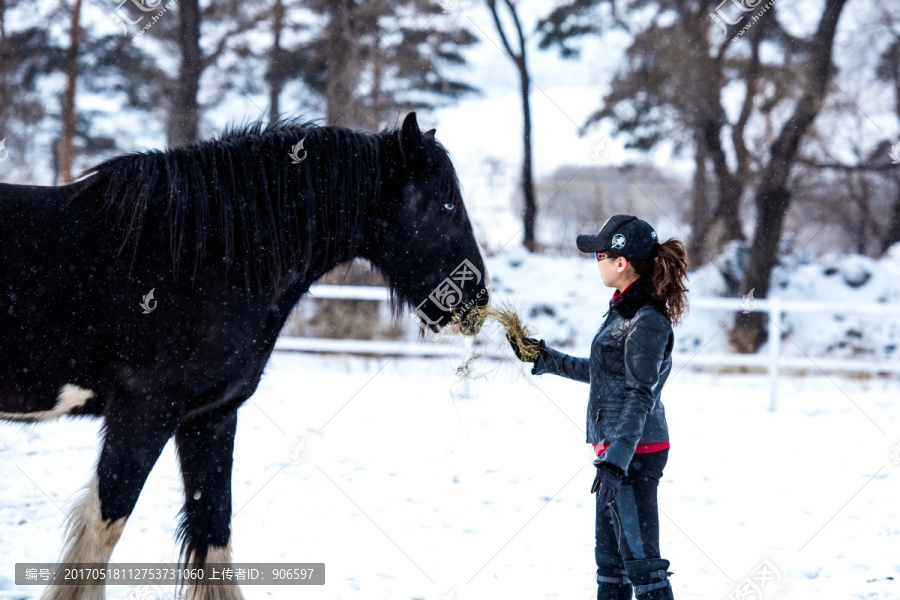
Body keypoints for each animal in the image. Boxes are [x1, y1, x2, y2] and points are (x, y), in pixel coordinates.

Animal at [0, 112, 488, 600]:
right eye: (445, 207)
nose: (476, 302)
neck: (198, 258)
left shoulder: (210, 417)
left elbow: (214, 530)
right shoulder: (144, 413)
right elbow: (104, 526)